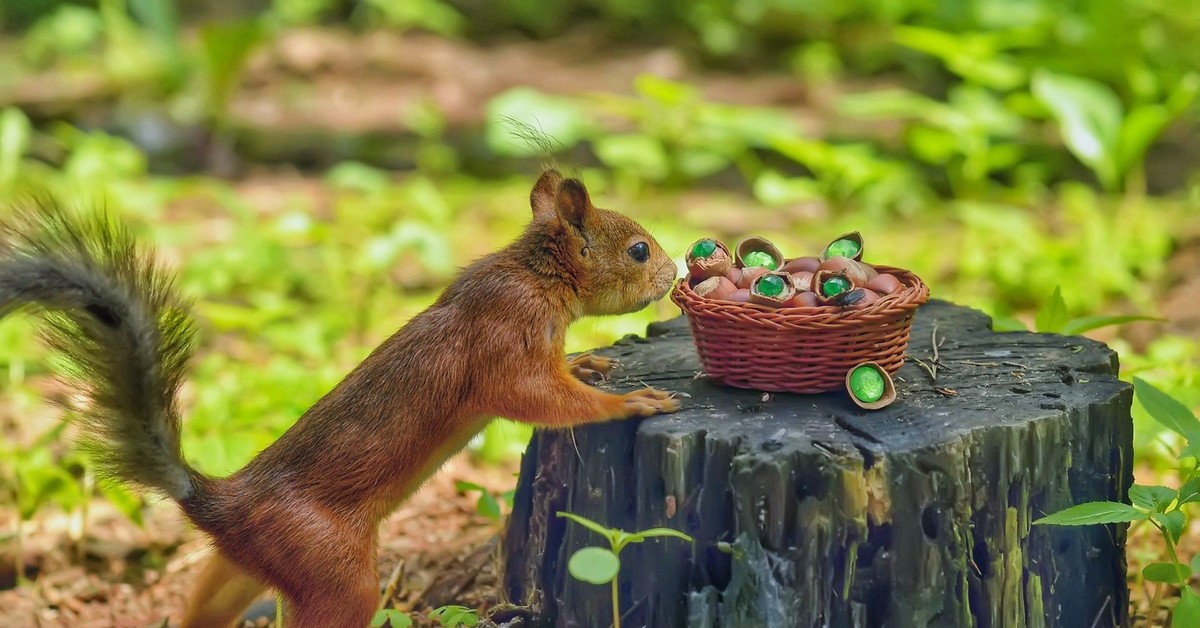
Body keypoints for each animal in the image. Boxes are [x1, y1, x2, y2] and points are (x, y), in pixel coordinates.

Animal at [0, 169, 681, 624]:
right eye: (638, 250)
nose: (674, 275)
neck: (534, 275)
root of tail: (216, 504)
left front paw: (588, 362)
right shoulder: (504, 337)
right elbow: (535, 398)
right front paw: (629, 403)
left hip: (240, 569)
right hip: (330, 571)